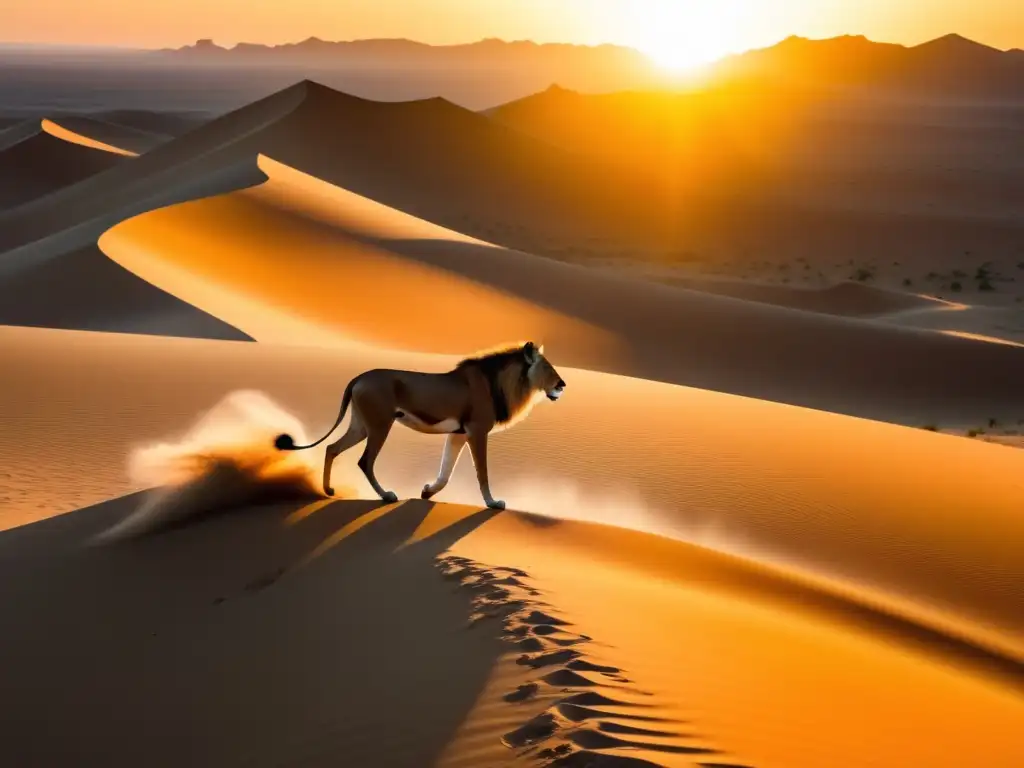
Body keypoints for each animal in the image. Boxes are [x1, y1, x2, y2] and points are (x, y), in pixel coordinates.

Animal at [274, 342, 569, 512]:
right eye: (547, 367)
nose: (562, 384)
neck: (501, 383)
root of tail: (359, 377)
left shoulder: (458, 434)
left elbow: (446, 471)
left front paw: (427, 492)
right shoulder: (477, 431)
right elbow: (482, 472)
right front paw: (493, 503)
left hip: (361, 425)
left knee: (331, 448)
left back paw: (328, 491)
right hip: (380, 425)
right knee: (365, 461)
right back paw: (386, 496)